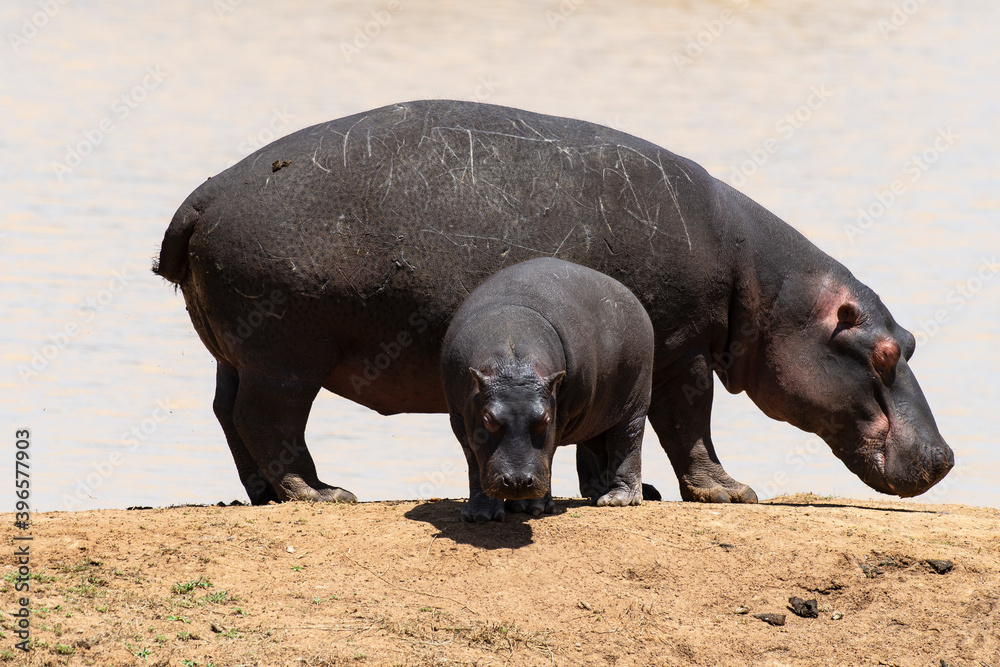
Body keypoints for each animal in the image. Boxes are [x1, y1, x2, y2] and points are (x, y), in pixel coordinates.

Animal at [441, 257, 653, 522]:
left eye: (545, 419)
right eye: (488, 419)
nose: (518, 482)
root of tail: (631, 297)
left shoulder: (560, 414)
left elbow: (548, 452)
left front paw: (533, 508)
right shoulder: (459, 417)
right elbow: (473, 460)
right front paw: (479, 516)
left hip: (634, 403)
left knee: (627, 442)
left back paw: (617, 500)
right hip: (595, 420)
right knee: (601, 448)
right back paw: (598, 496)